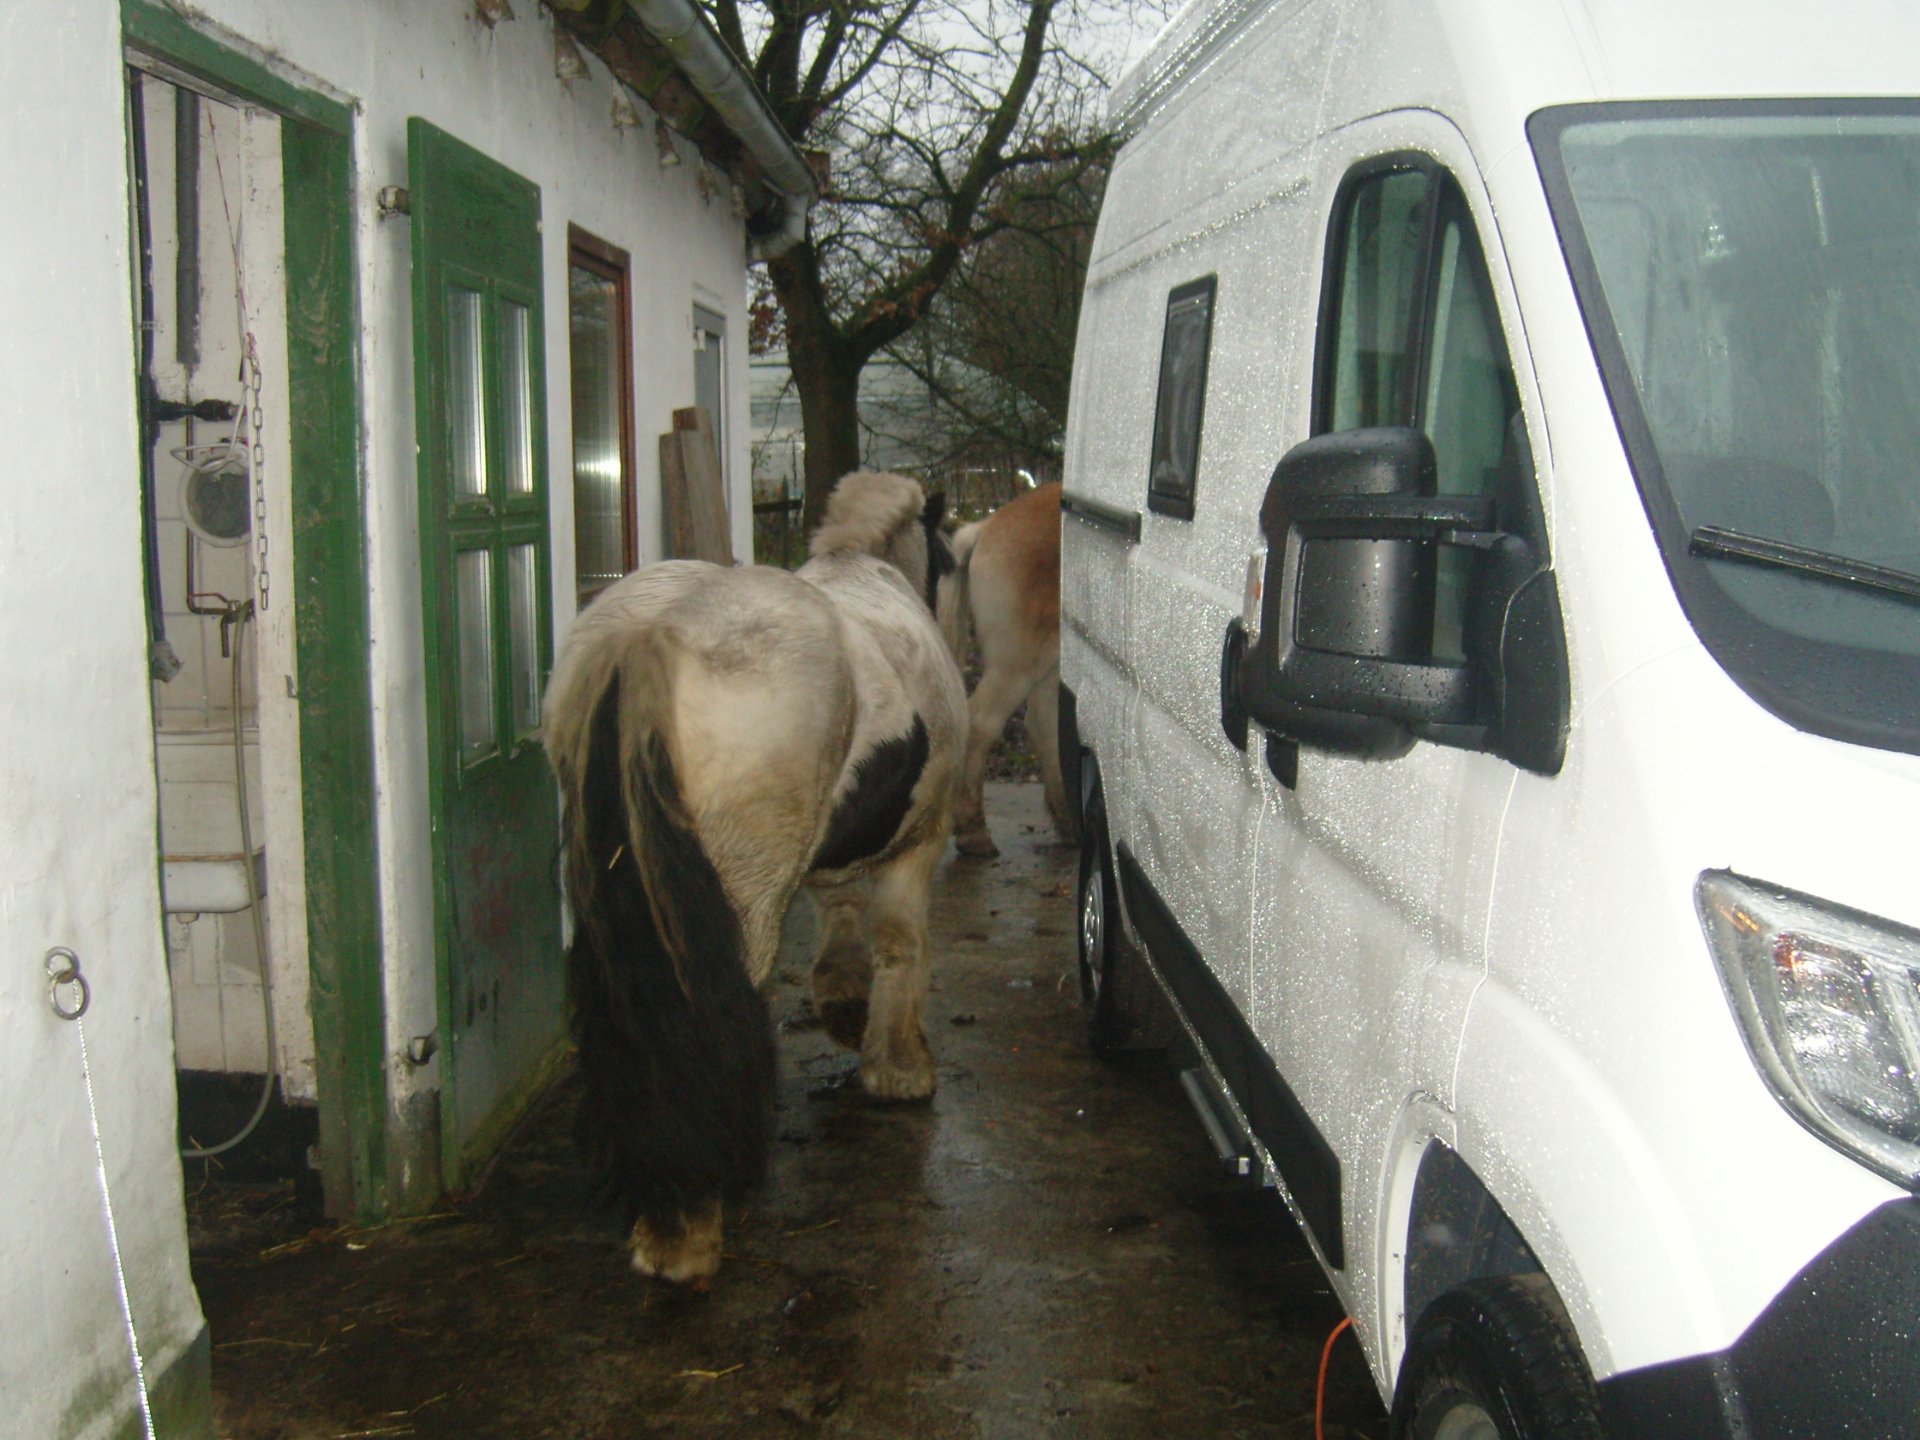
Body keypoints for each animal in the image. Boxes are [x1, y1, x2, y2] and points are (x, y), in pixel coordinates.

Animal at [944, 480, 1082, 864]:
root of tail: (986, 527)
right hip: (1018, 663)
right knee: (982, 722)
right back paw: (974, 833)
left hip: (1049, 661)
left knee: (1043, 724)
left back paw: (1069, 823)